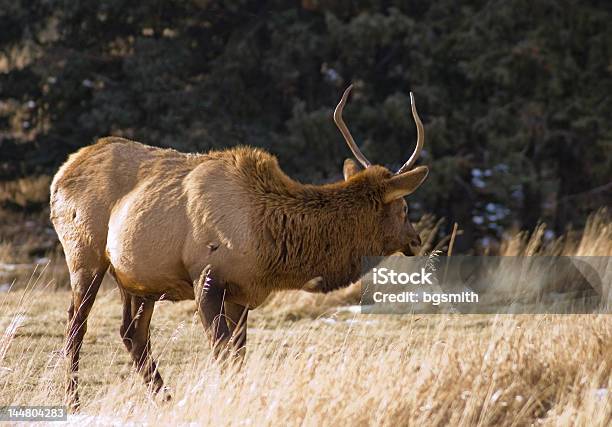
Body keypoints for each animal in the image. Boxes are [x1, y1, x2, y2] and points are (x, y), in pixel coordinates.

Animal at [49, 85, 430, 410]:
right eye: (404, 207)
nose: (416, 239)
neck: (270, 242)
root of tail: (62, 171)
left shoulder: (241, 293)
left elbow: (237, 358)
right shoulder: (206, 278)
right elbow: (222, 354)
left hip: (139, 279)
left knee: (132, 333)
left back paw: (166, 399)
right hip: (84, 254)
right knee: (76, 325)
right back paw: (74, 402)